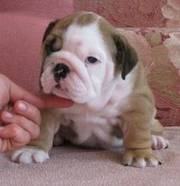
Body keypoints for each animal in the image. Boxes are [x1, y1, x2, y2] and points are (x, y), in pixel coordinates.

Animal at [10, 12, 169, 169]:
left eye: (92, 60)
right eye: (51, 48)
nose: (61, 67)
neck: (91, 100)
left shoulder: (137, 105)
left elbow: (137, 132)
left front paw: (140, 154)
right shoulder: (47, 103)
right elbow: (42, 128)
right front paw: (32, 149)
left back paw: (155, 139)